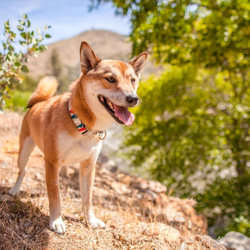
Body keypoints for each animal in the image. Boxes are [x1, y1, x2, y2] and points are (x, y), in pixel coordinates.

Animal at [8, 41, 147, 234]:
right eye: (110, 79)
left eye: (132, 80)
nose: (133, 98)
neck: (82, 124)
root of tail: (37, 103)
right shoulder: (52, 162)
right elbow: (55, 196)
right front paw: (56, 221)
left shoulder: (88, 166)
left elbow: (87, 199)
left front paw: (91, 220)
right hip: (24, 152)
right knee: (22, 171)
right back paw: (15, 189)